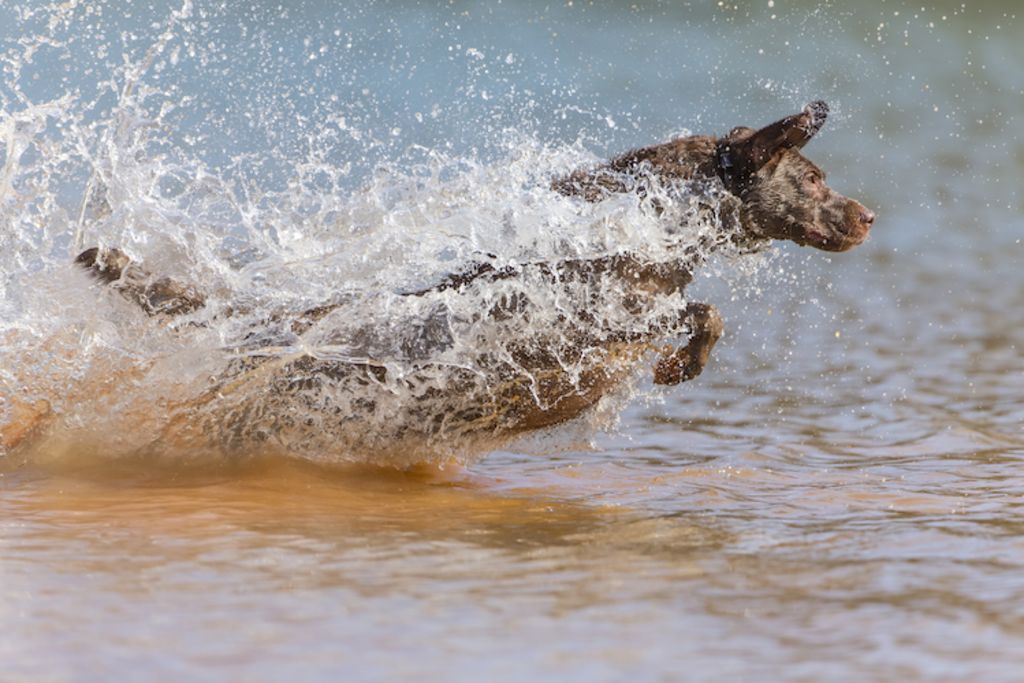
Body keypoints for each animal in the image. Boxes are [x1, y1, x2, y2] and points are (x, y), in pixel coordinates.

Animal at [4, 101, 876, 456]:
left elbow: (704, 312)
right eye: (816, 177)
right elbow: (698, 313)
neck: (646, 232)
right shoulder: (589, 325)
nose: (870, 215)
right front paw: (681, 361)